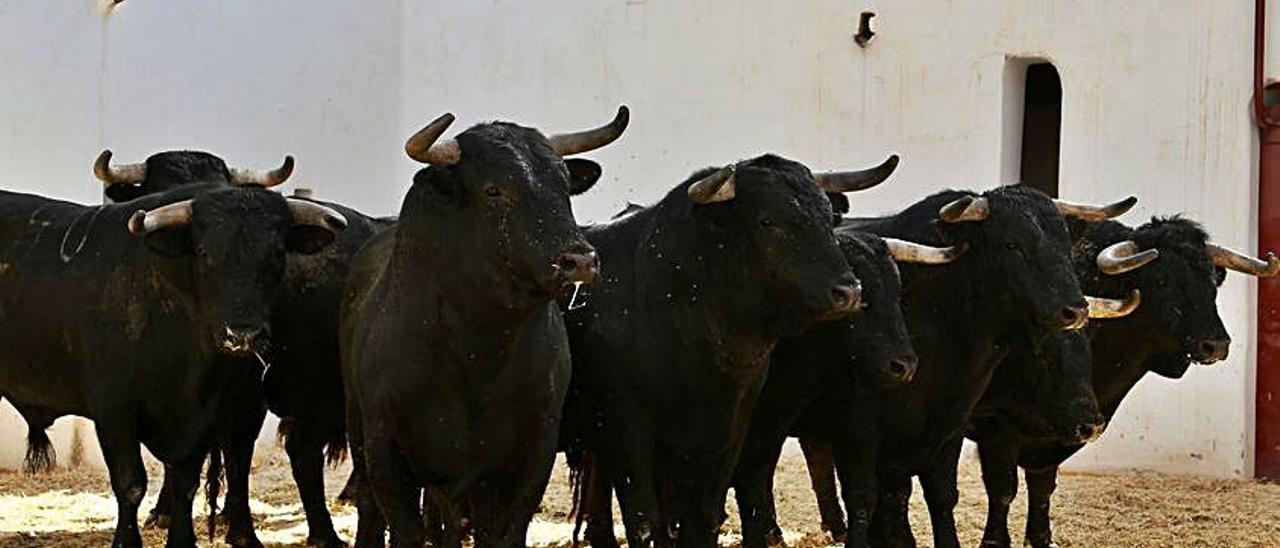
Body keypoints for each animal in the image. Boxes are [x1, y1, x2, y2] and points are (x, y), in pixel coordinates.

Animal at [0, 183, 345, 548]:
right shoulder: (115, 412)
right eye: (205, 252)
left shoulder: (205, 415)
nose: (243, 333)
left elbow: (185, 483)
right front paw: (127, 542)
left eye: (277, 253)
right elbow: (130, 483)